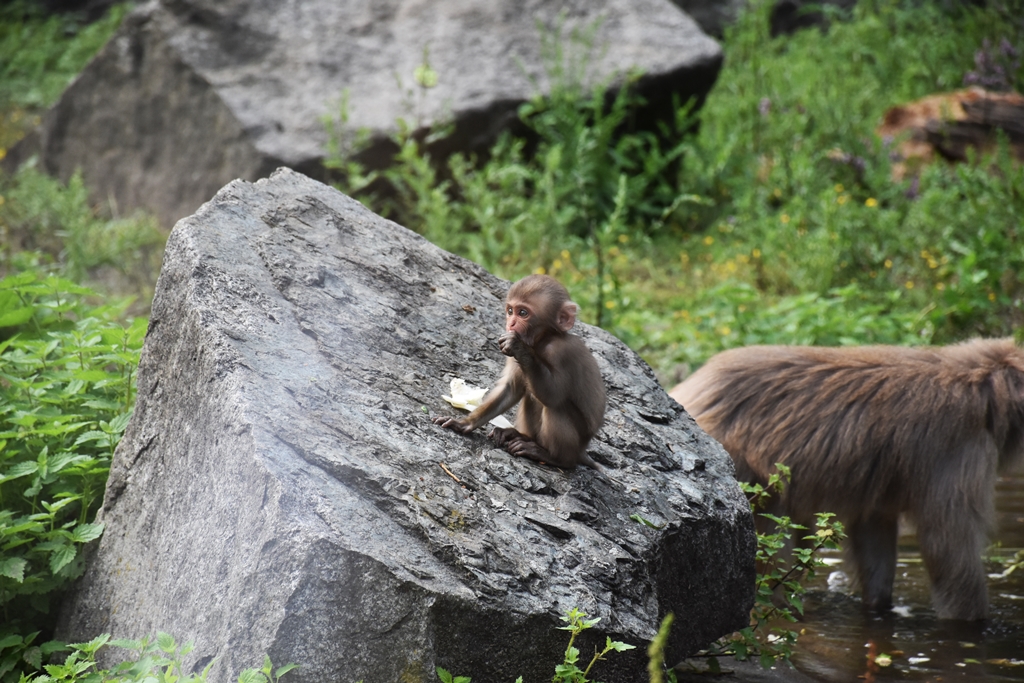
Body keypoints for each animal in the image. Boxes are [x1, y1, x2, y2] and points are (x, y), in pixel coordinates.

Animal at [434, 274, 606, 471]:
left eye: (523, 313)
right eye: (510, 311)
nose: (511, 324)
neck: (542, 340)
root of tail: (581, 452)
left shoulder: (561, 352)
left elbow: (553, 396)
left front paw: (519, 348)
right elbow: (511, 389)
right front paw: (464, 424)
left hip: (575, 445)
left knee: (556, 406)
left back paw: (554, 457)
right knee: (531, 395)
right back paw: (520, 436)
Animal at [669, 339, 1024, 621]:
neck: (983, 385)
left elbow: (874, 526)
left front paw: (879, 607)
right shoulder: (959, 445)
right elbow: (948, 546)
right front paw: (975, 622)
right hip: (737, 468)